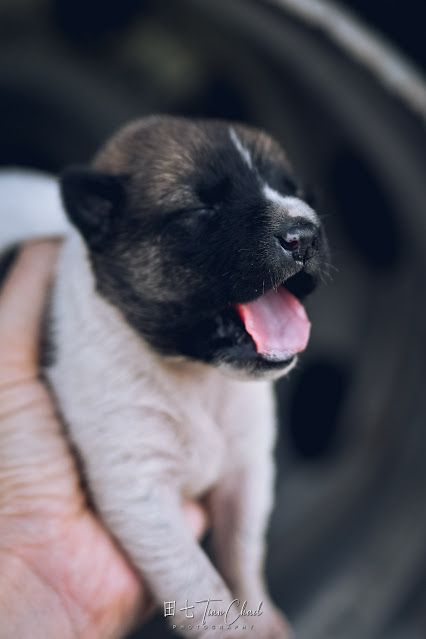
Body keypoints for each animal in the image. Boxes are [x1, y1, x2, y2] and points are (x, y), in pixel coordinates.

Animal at [0, 116, 328, 639]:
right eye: (201, 208)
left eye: (293, 189)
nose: (304, 234)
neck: (197, 378)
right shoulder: (140, 491)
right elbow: (203, 592)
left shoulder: (248, 470)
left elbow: (241, 552)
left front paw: (264, 618)